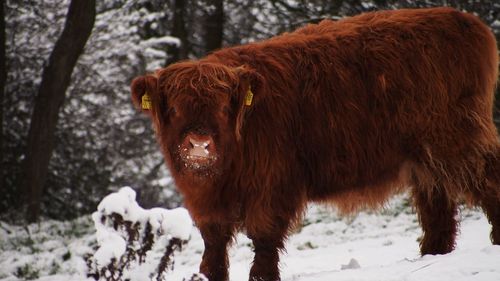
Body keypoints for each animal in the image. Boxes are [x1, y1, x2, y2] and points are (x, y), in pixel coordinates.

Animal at [130, 7, 500, 280]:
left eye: (223, 107)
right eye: (174, 108)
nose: (199, 144)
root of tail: (465, 20)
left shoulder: (272, 185)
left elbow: (264, 237)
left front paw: (263, 276)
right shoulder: (204, 201)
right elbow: (214, 246)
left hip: (457, 140)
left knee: (488, 181)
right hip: (425, 158)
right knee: (437, 209)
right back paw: (431, 256)